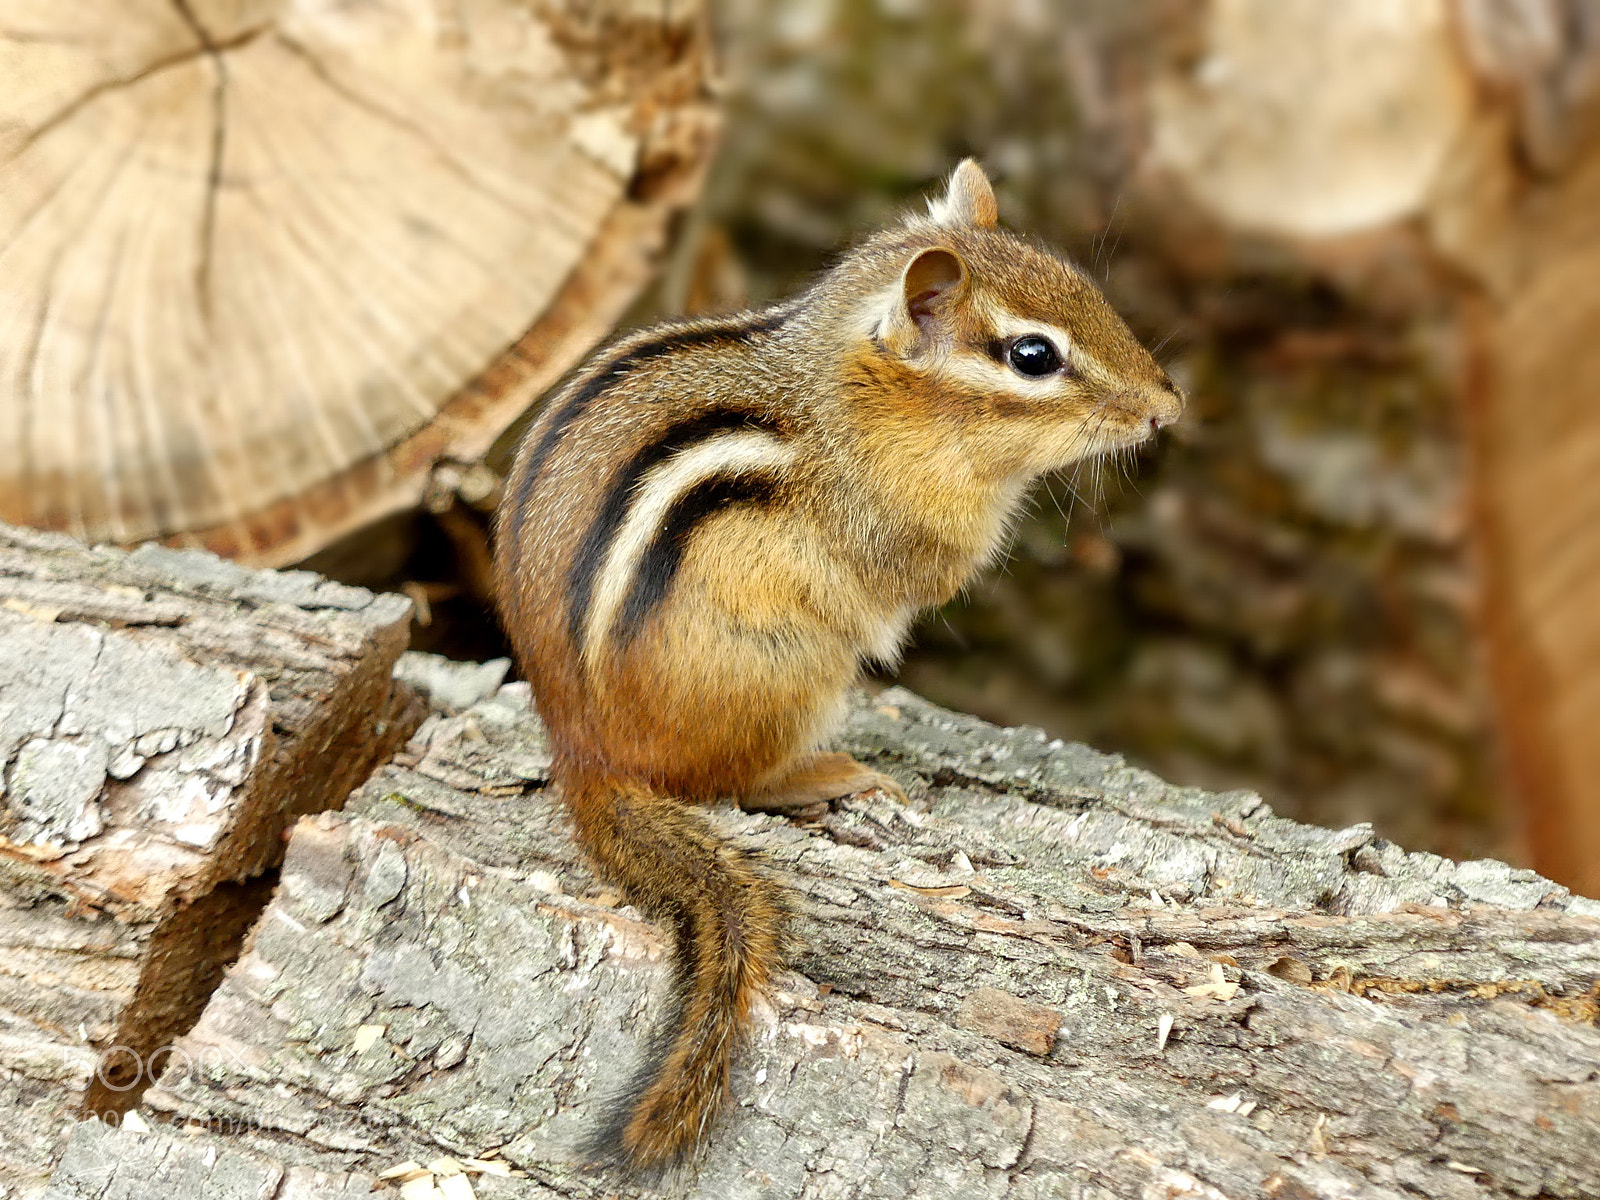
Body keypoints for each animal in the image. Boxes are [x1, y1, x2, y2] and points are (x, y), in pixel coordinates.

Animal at [493, 159, 1182, 1170]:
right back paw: (830, 773)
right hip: (793, 668)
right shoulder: (901, 525)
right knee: (730, 782)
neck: (864, 391)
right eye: (1032, 356)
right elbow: (931, 571)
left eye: (1087, 290)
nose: (1167, 405)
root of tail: (582, 750)